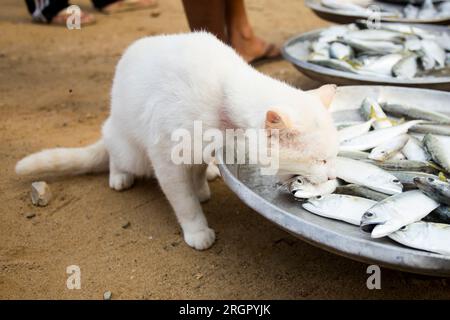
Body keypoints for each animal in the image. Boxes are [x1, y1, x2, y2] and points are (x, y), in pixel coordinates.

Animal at [15, 31, 340, 250]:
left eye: (334, 157)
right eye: (320, 160)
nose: (332, 176)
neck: (223, 98)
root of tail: (112, 120)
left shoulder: (201, 149)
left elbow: (196, 174)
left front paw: (201, 187)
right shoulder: (166, 159)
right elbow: (183, 202)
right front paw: (197, 230)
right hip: (128, 147)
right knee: (113, 150)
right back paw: (119, 176)